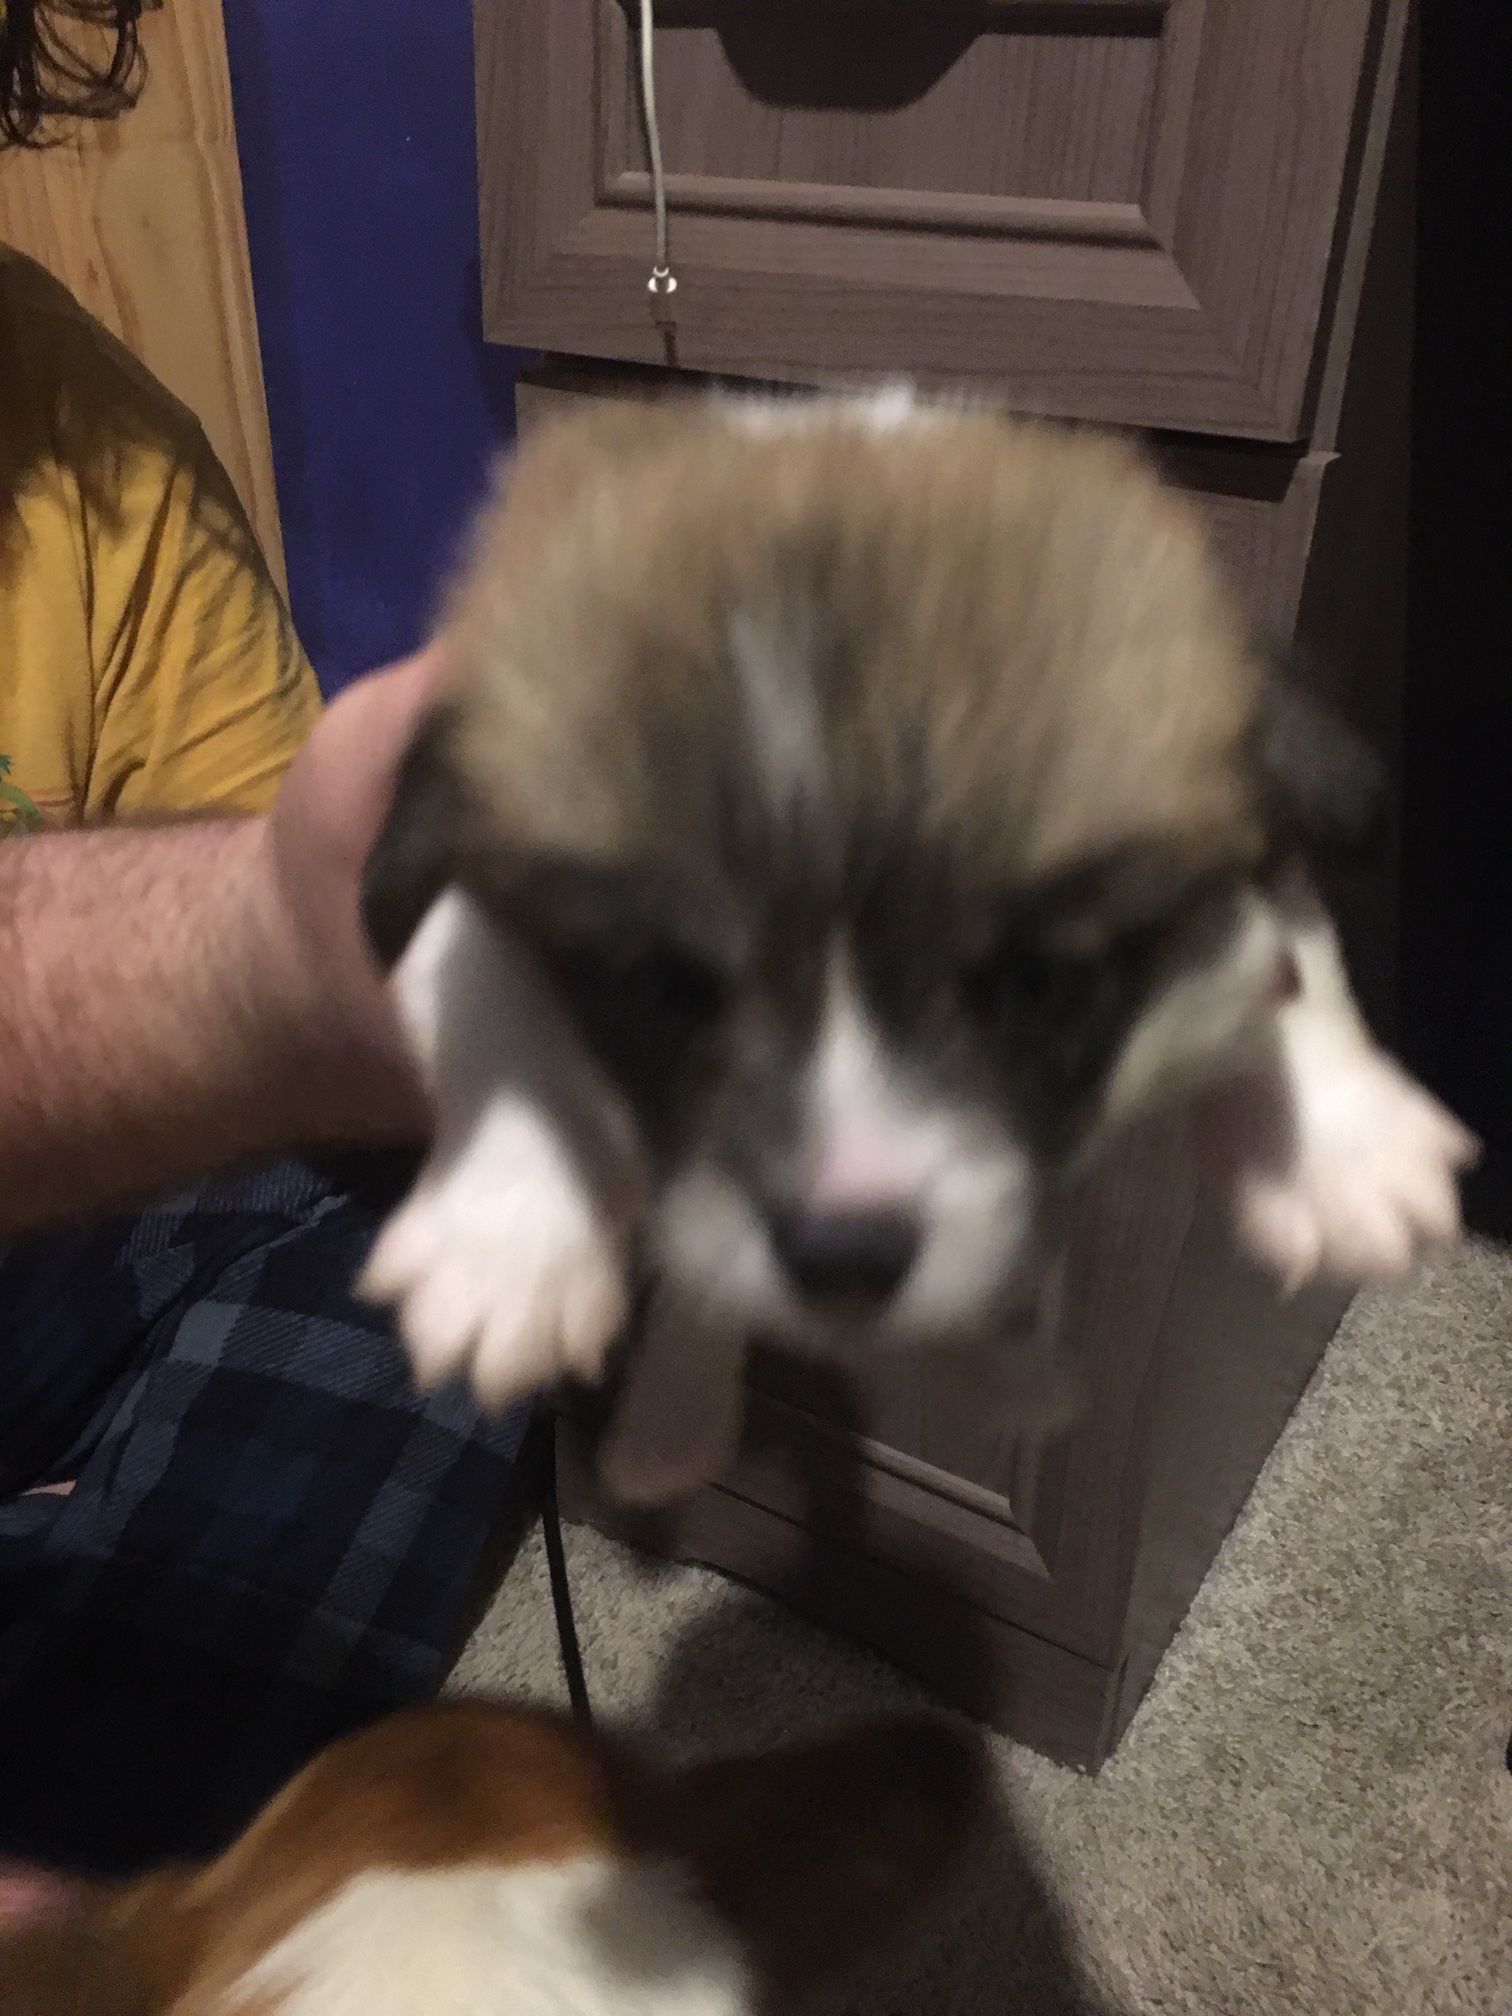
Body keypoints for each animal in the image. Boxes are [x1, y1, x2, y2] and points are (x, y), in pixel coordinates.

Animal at [355, 387, 1475, 1503]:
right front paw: (504, 1244)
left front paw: (1342, 1148)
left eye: (1036, 982)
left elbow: (1300, 963)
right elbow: (499, 1027)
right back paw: (677, 1423)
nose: (846, 1255)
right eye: (665, 989)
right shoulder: (461, 898)